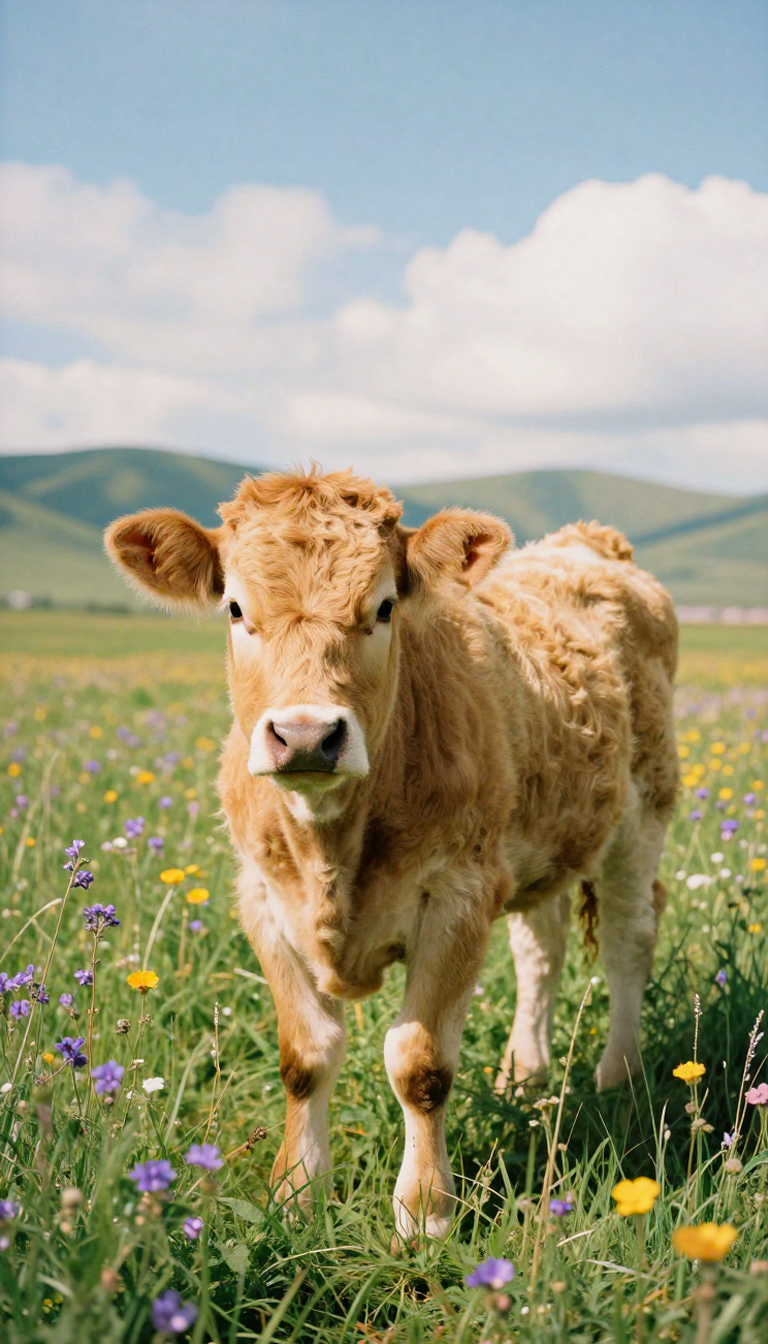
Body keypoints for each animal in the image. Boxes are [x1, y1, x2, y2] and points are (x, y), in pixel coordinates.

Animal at [105, 467, 679, 1241]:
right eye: (235, 607)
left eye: (382, 606)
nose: (307, 735)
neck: (333, 847)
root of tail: (587, 542)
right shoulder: (263, 900)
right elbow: (306, 1056)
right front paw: (295, 1193)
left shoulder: (459, 897)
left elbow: (420, 1065)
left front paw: (425, 1212)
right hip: (544, 837)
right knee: (542, 947)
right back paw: (524, 1073)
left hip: (641, 814)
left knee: (627, 939)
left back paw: (619, 1075)